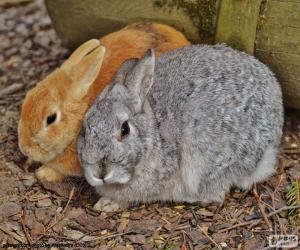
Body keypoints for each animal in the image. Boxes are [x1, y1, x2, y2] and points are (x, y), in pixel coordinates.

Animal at [77, 45, 284, 211]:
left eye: (125, 129)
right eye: (84, 129)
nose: (100, 173)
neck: (155, 134)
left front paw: (109, 204)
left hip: (211, 157)